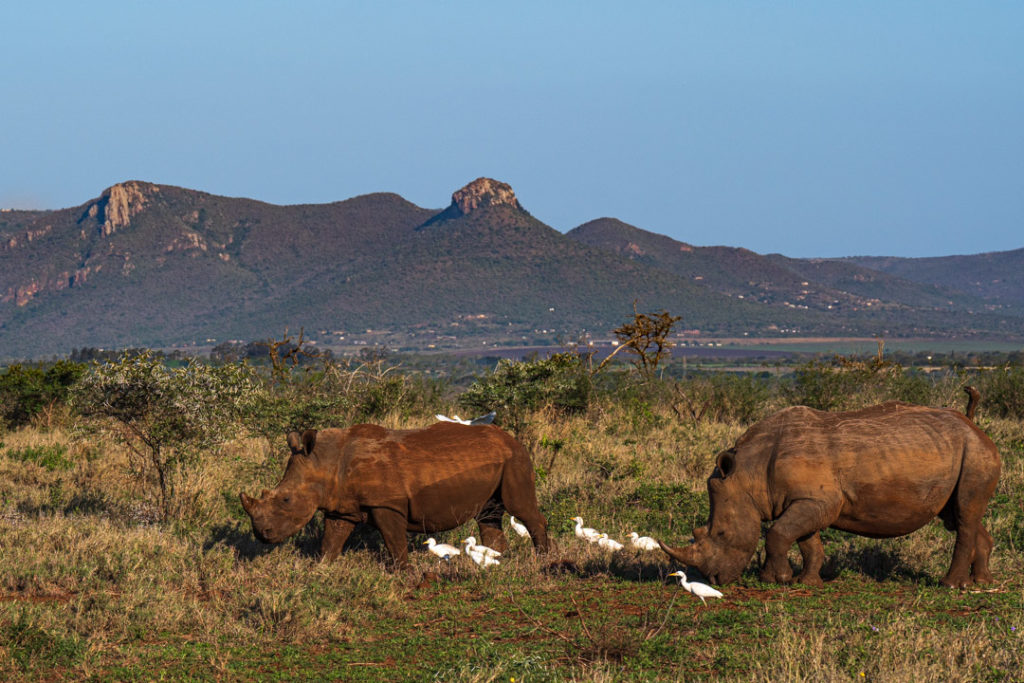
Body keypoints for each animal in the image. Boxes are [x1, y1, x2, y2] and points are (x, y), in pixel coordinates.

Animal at [238, 423, 552, 569]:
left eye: (286, 500)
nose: (262, 535)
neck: (326, 461)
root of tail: (513, 438)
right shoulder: (341, 507)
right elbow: (331, 542)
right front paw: (321, 569)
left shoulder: (386, 504)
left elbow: (393, 540)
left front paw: (404, 572)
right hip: (498, 461)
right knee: (488, 513)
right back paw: (499, 559)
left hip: (515, 459)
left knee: (519, 508)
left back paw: (544, 559)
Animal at [655, 397, 999, 589]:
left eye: (722, 534)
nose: (714, 580)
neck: (748, 472)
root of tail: (979, 430)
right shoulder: (805, 500)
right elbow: (807, 542)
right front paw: (804, 582)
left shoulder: (819, 501)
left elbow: (777, 534)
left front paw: (776, 580)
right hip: (960, 453)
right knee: (958, 515)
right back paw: (981, 582)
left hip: (975, 454)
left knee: (963, 516)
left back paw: (950, 585)